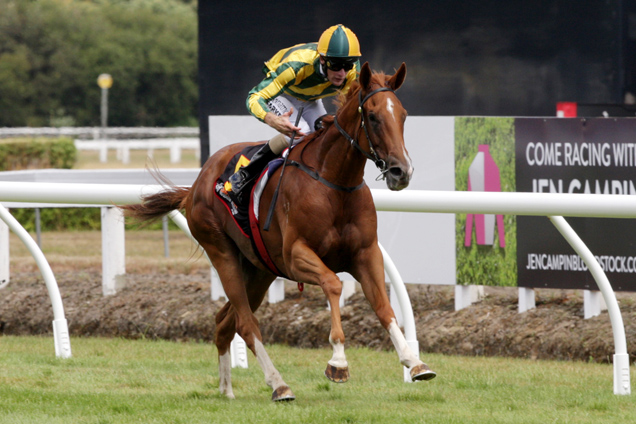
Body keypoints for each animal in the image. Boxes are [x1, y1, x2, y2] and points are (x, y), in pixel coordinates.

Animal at [120, 62, 438, 400]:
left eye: (403, 115)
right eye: (374, 116)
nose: (401, 171)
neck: (334, 182)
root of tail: (195, 185)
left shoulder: (366, 254)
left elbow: (383, 306)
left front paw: (415, 363)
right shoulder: (296, 255)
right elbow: (333, 284)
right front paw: (338, 361)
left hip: (260, 270)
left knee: (225, 322)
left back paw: (227, 390)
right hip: (222, 252)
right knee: (246, 324)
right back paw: (278, 384)